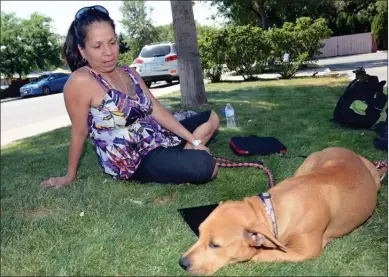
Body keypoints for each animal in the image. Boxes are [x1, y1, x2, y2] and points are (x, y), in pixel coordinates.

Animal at [178, 147, 382, 274]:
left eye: (215, 245)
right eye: (199, 234)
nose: (182, 263)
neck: (271, 211)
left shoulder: (304, 251)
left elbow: (260, 255)